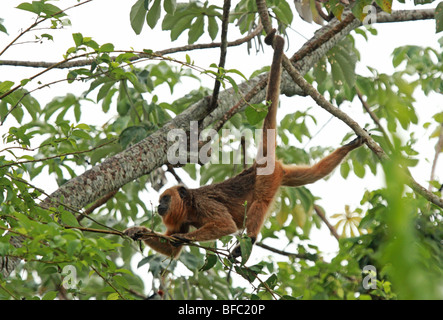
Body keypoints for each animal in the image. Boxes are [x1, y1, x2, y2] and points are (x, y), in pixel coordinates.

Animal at [124, 29, 364, 260]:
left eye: (165, 198)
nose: (160, 206)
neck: (190, 206)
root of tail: (259, 164)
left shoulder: (205, 204)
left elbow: (226, 225)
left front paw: (185, 237)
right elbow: (172, 251)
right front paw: (138, 230)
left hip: (266, 179)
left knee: (259, 202)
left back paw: (249, 239)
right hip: (281, 173)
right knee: (313, 174)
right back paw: (347, 148)